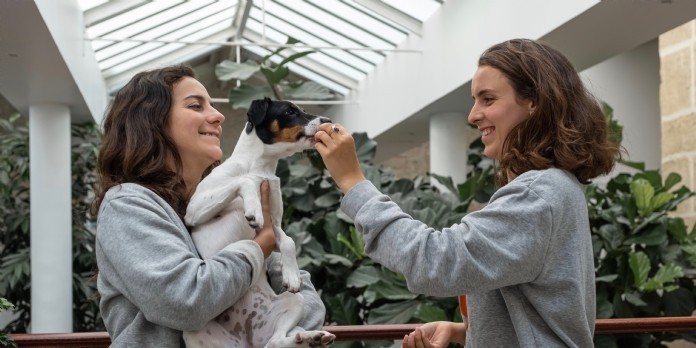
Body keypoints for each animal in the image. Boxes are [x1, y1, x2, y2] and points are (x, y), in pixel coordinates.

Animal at [182, 98, 338, 348]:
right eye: (290, 111)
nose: (329, 121)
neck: (260, 167)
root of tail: (247, 341)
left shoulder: (274, 224)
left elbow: (289, 241)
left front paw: (292, 276)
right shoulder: (195, 209)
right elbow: (244, 181)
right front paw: (253, 209)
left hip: (295, 302)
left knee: (276, 341)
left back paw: (310, 336)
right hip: (194, 330)